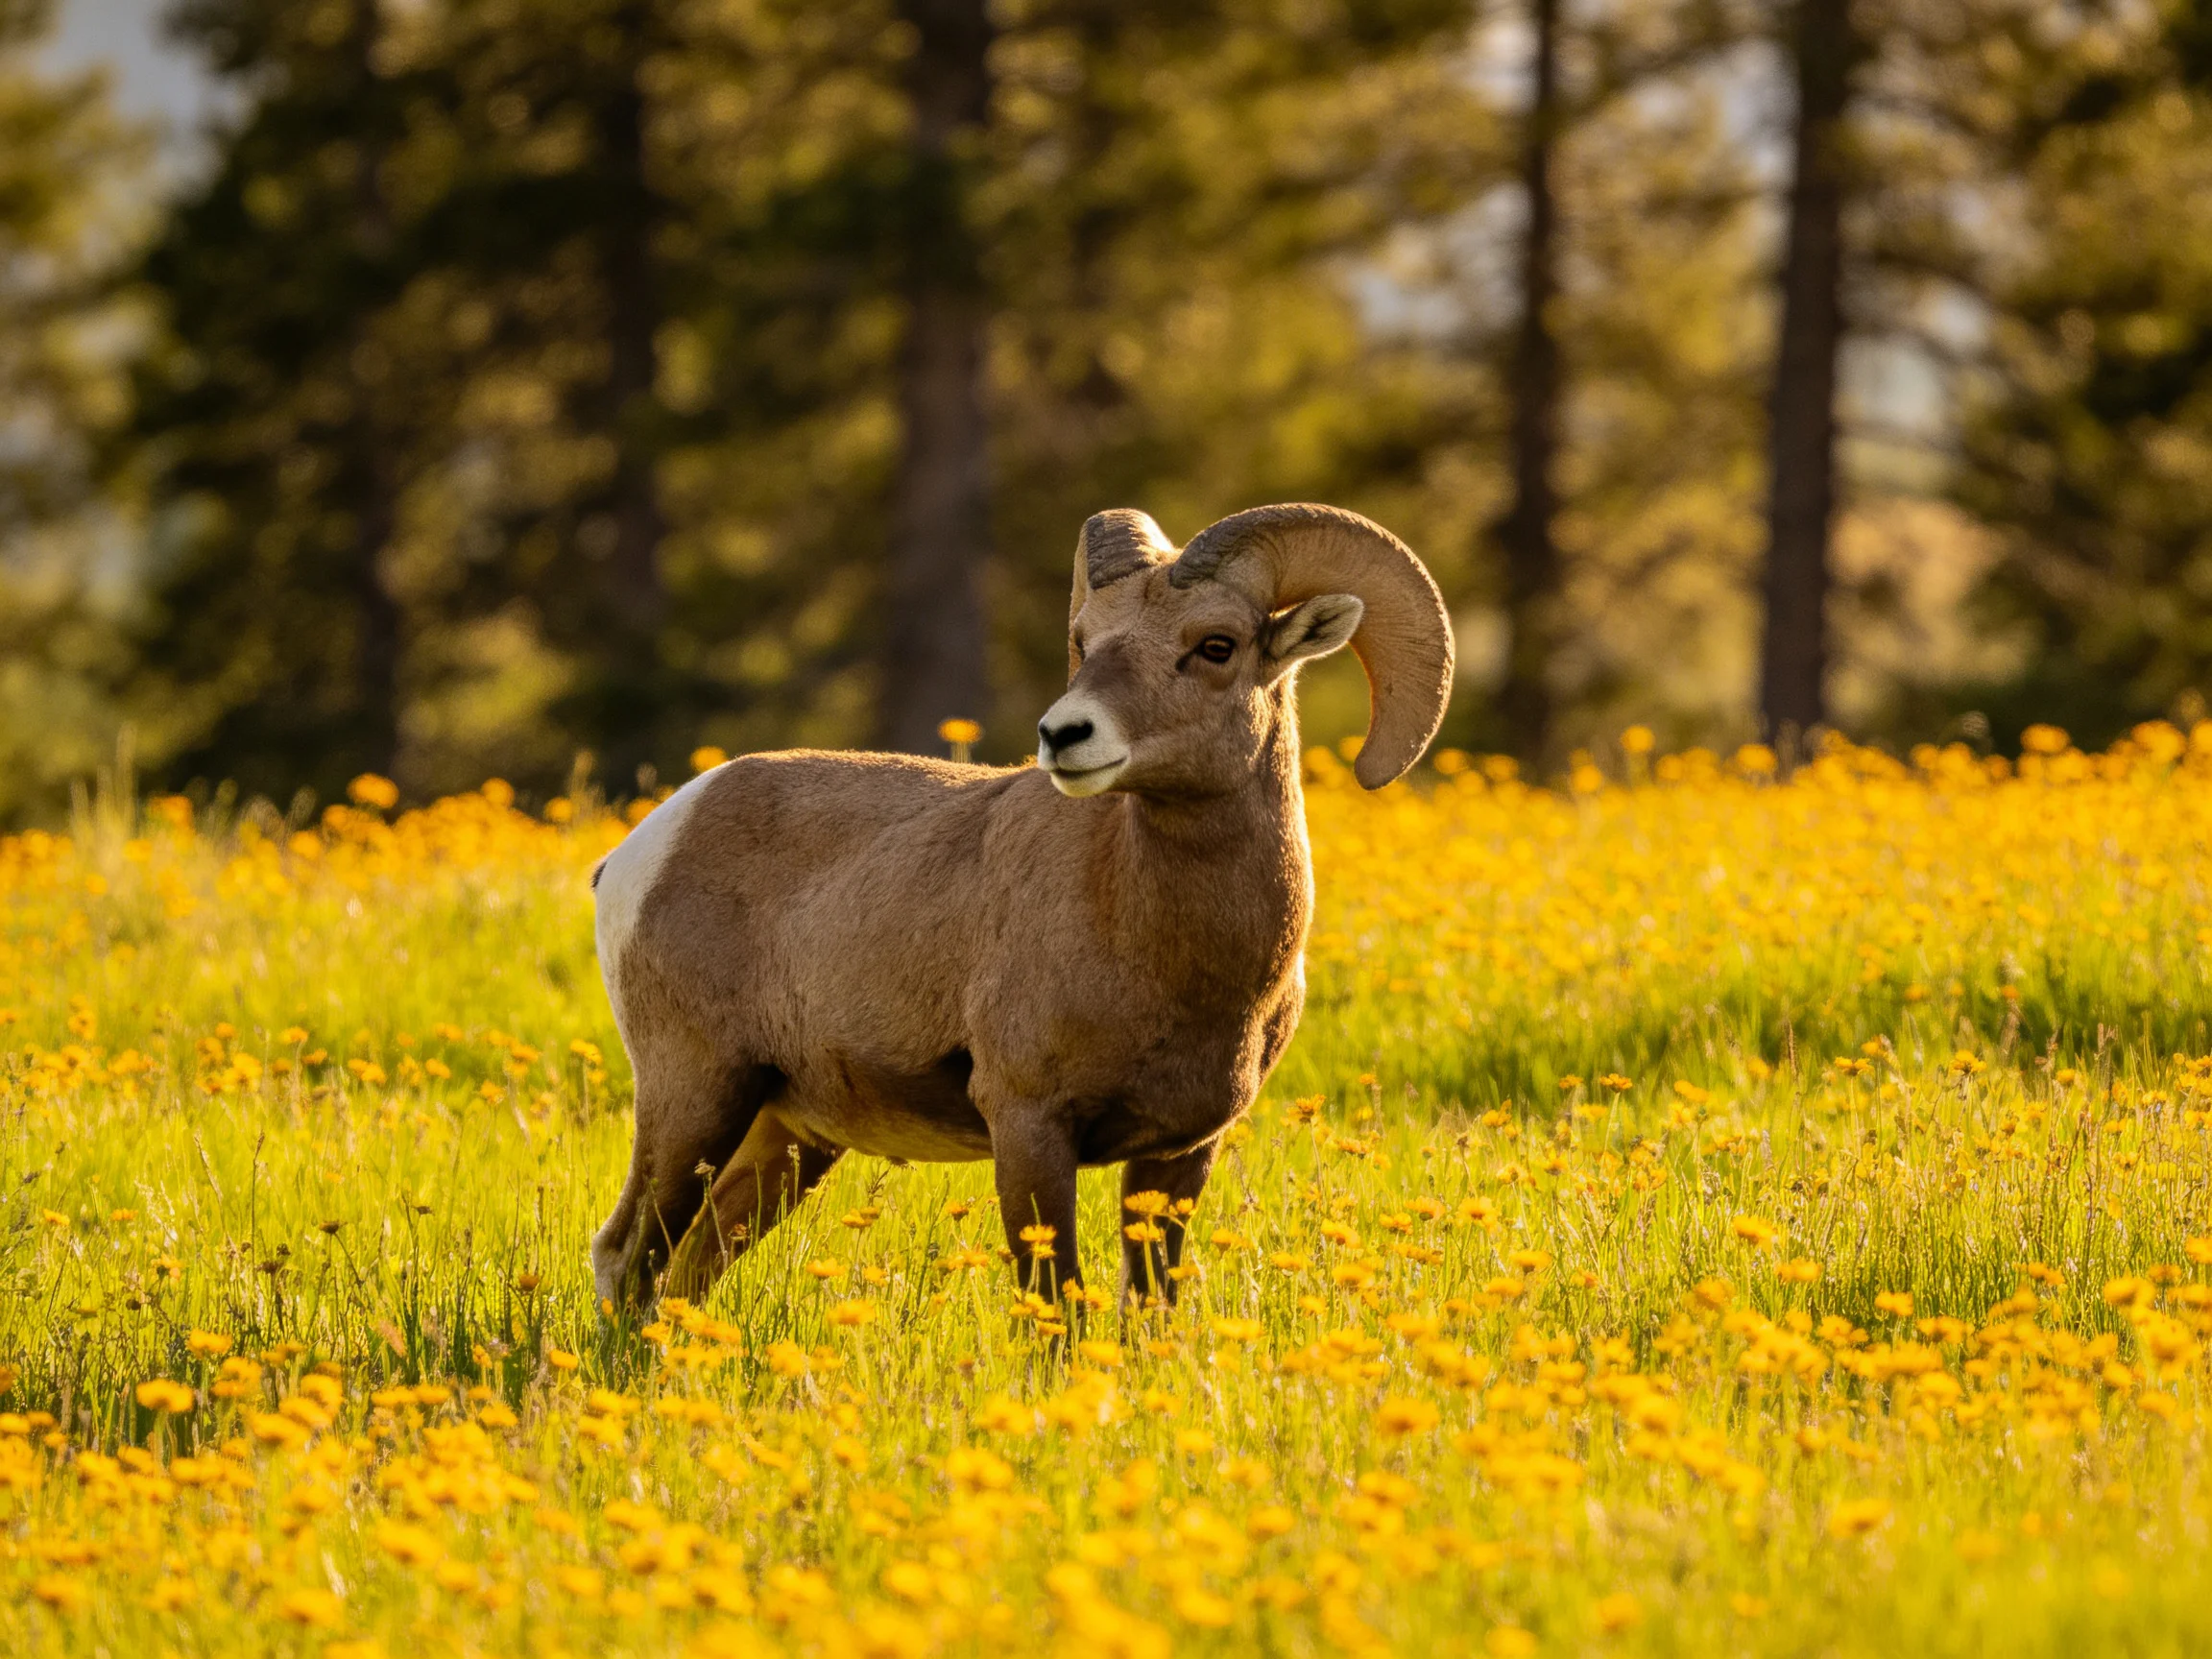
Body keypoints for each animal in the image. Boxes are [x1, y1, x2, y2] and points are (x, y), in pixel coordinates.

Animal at [589, 502, 1454, 1314]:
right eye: (1086, 640)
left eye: (1217, 645)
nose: (1064, 735)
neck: (1165, 955)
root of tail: (641, 847)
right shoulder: (1030, 1128)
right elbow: (1056, 1309)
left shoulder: (1179, 1154)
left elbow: (1149, 1307)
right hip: (696, 1095)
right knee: (626, 1255)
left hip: (787, 1134)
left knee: (689, 1270)